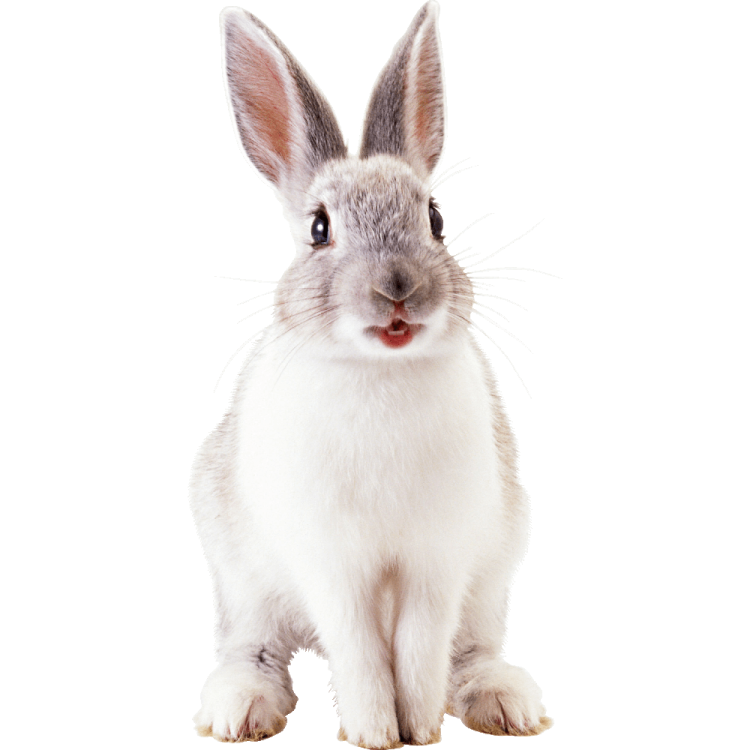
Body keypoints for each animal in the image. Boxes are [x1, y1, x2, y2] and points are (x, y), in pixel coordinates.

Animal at [190, 2, 552, 747]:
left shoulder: (436, 563)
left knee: (470, 651)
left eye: (436, 218)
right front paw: (374, 735)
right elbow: (361, 654)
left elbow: (417, 653)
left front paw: (418, 733)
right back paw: (240, 710)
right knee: (253, 648)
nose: (397, 289)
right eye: (318, 229)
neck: (381, 373)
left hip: (494, 573)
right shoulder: (334, 566)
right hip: (241, 581)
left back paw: (506, 704)